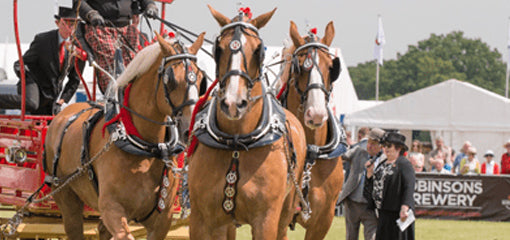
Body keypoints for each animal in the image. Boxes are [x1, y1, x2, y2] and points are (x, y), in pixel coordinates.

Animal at [42, 33, 205, 240]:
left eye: (200, 78)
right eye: (170, 80)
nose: (189, 129)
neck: (146, 148)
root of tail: (62, 113)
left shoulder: (162, 219)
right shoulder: (111, 209)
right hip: (66, 199)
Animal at [187, 5, 306, 238]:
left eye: (259, 49)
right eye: (218, 48)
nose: (233, 103)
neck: (236, 142)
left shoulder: (266, 220)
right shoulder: (200, 219)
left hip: (285, 211)